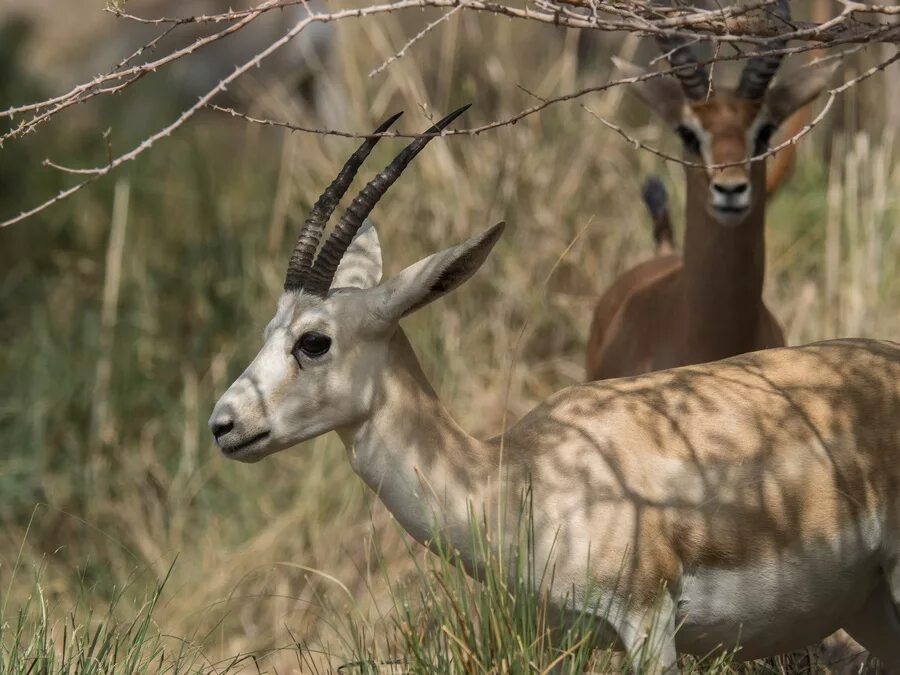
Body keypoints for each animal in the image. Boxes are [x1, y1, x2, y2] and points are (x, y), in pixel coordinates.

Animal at [209, 108, 900, 672]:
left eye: (314, 340)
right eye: (268, 329)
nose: (224, 424)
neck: (516, 477)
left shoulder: (649, 627)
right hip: (871, 607)